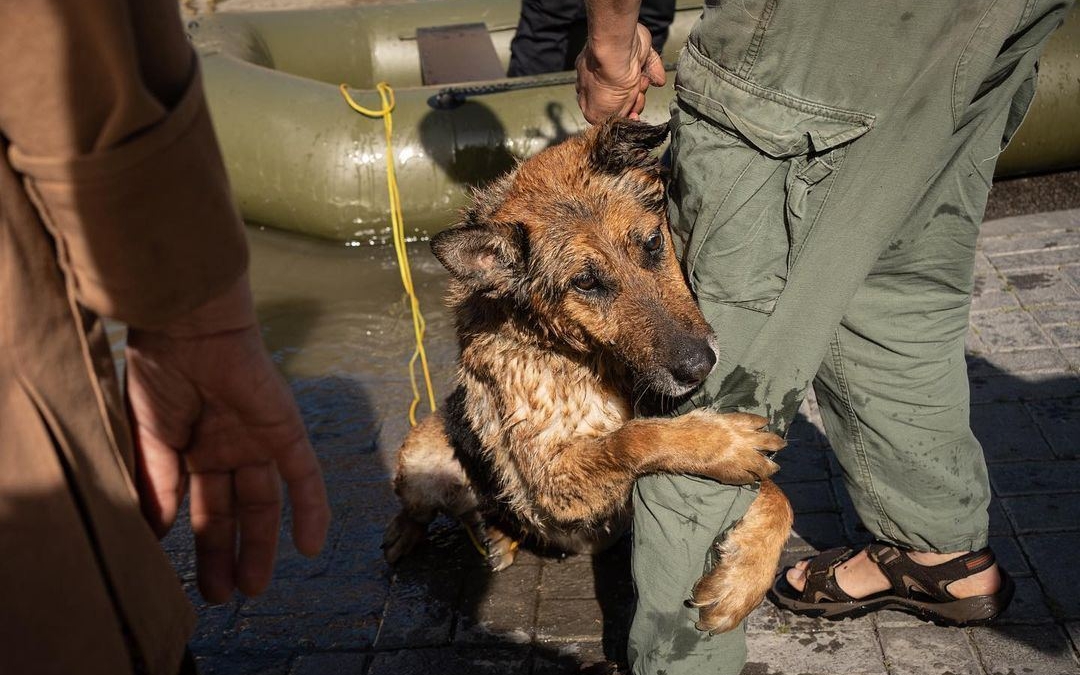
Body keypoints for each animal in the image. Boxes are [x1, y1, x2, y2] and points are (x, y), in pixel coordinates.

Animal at [382, 117, 794, 630]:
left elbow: (778, 496)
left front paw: (744, 578)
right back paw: (417, 535)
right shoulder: (549, 482)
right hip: (422, 455)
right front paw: (719, 443)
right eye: (585, 282)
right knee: (420, 509)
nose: (700, 366)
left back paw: (498, 535)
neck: (586, 355)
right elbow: (633, 438)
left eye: (653, 244)